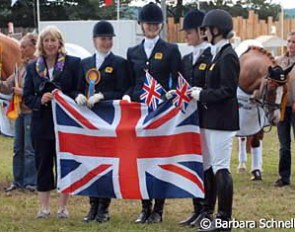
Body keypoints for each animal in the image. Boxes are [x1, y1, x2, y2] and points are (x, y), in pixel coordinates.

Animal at [236, 44, 294, 179]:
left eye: (285, 90)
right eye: (271, 88)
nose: (276, 118)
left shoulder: (259, 116)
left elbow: (256, 141)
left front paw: (256, 171)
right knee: (242, 138)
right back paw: (241, 165)